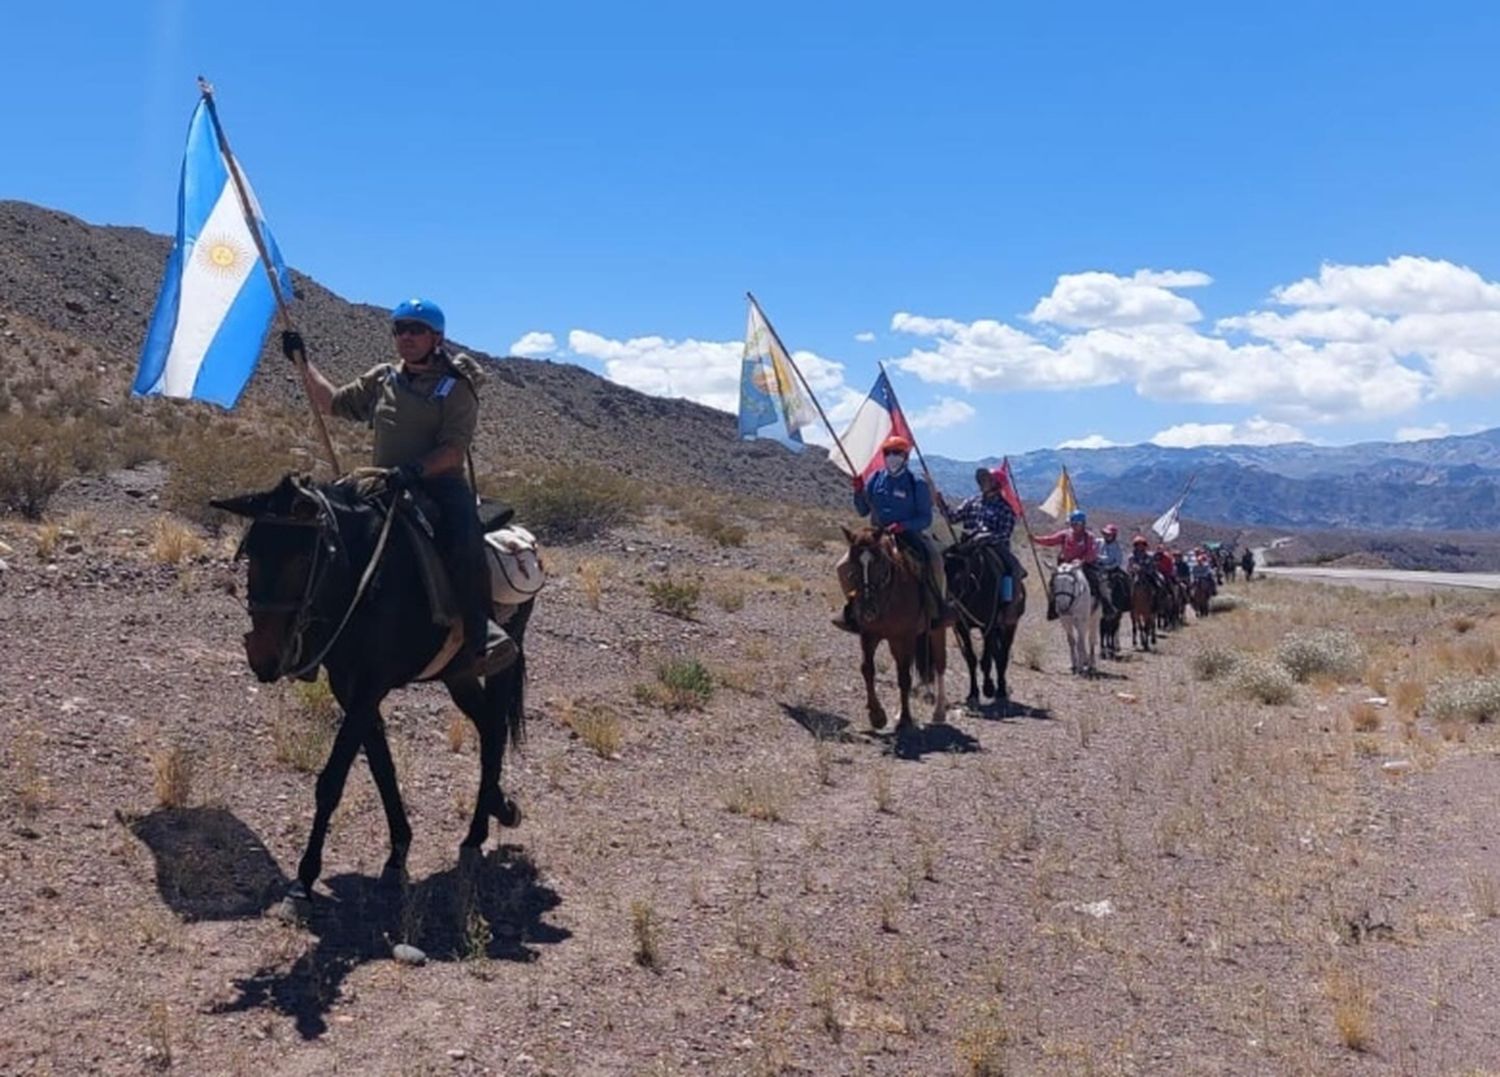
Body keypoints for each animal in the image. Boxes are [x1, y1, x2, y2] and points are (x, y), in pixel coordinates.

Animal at [840, 528, 942, 735]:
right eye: (853, 564)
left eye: (879, 563)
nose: (867, 609)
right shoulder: (868, 634)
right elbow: (867, 669)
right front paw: (877, 715)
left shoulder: (904, 637)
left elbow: (904, 677)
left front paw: (905, 719)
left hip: (935, 632)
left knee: (940, 667)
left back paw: (939, 713)